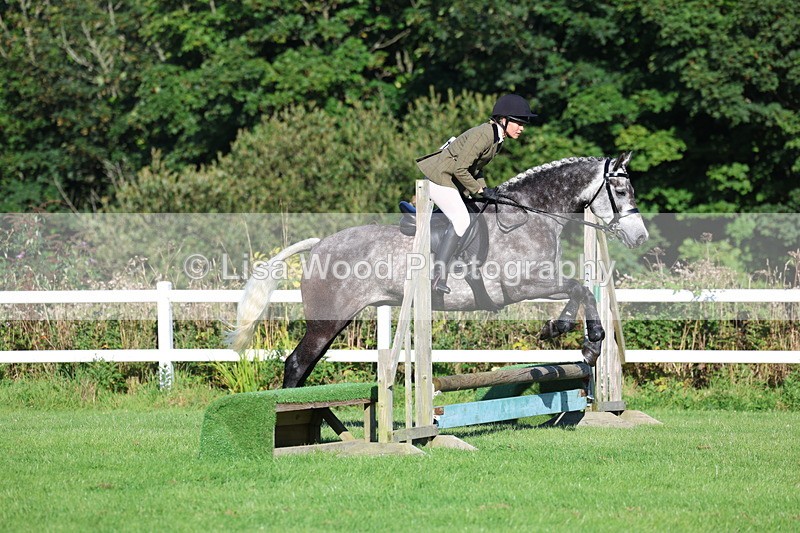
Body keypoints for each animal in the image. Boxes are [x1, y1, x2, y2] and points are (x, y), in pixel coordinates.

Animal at [227, 152, 649, 387]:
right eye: (621, 191)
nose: (640, 236)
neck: (531, 215)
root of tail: (319, 244)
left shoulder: (540, 281)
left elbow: (582, 289)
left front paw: (579, 339)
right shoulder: (522, 285)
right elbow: (579, 287)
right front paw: (576, 337)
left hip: (337, 321)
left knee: (306, 364)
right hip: (326, 321)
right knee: (297, 363)